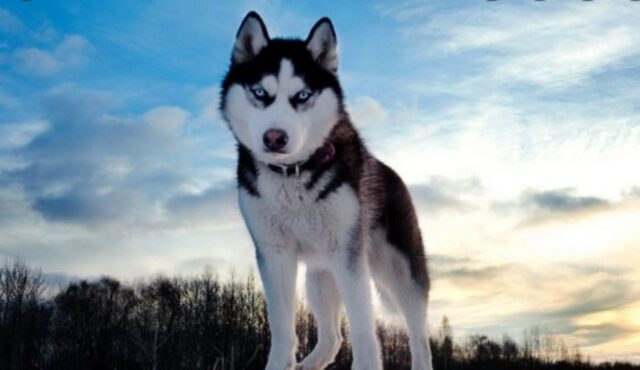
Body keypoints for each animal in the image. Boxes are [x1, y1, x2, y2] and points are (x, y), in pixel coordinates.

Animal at [220, 11, 436, 370]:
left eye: (303, 95)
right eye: (260, 92)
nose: (274, 137)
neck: (292, 175)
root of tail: (391, 172)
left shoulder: (348, 257)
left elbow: (364, 333)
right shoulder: (274, 255)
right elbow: (282, 330)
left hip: (399, 272)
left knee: (419, 336)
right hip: (319, 277)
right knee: (333, 337)